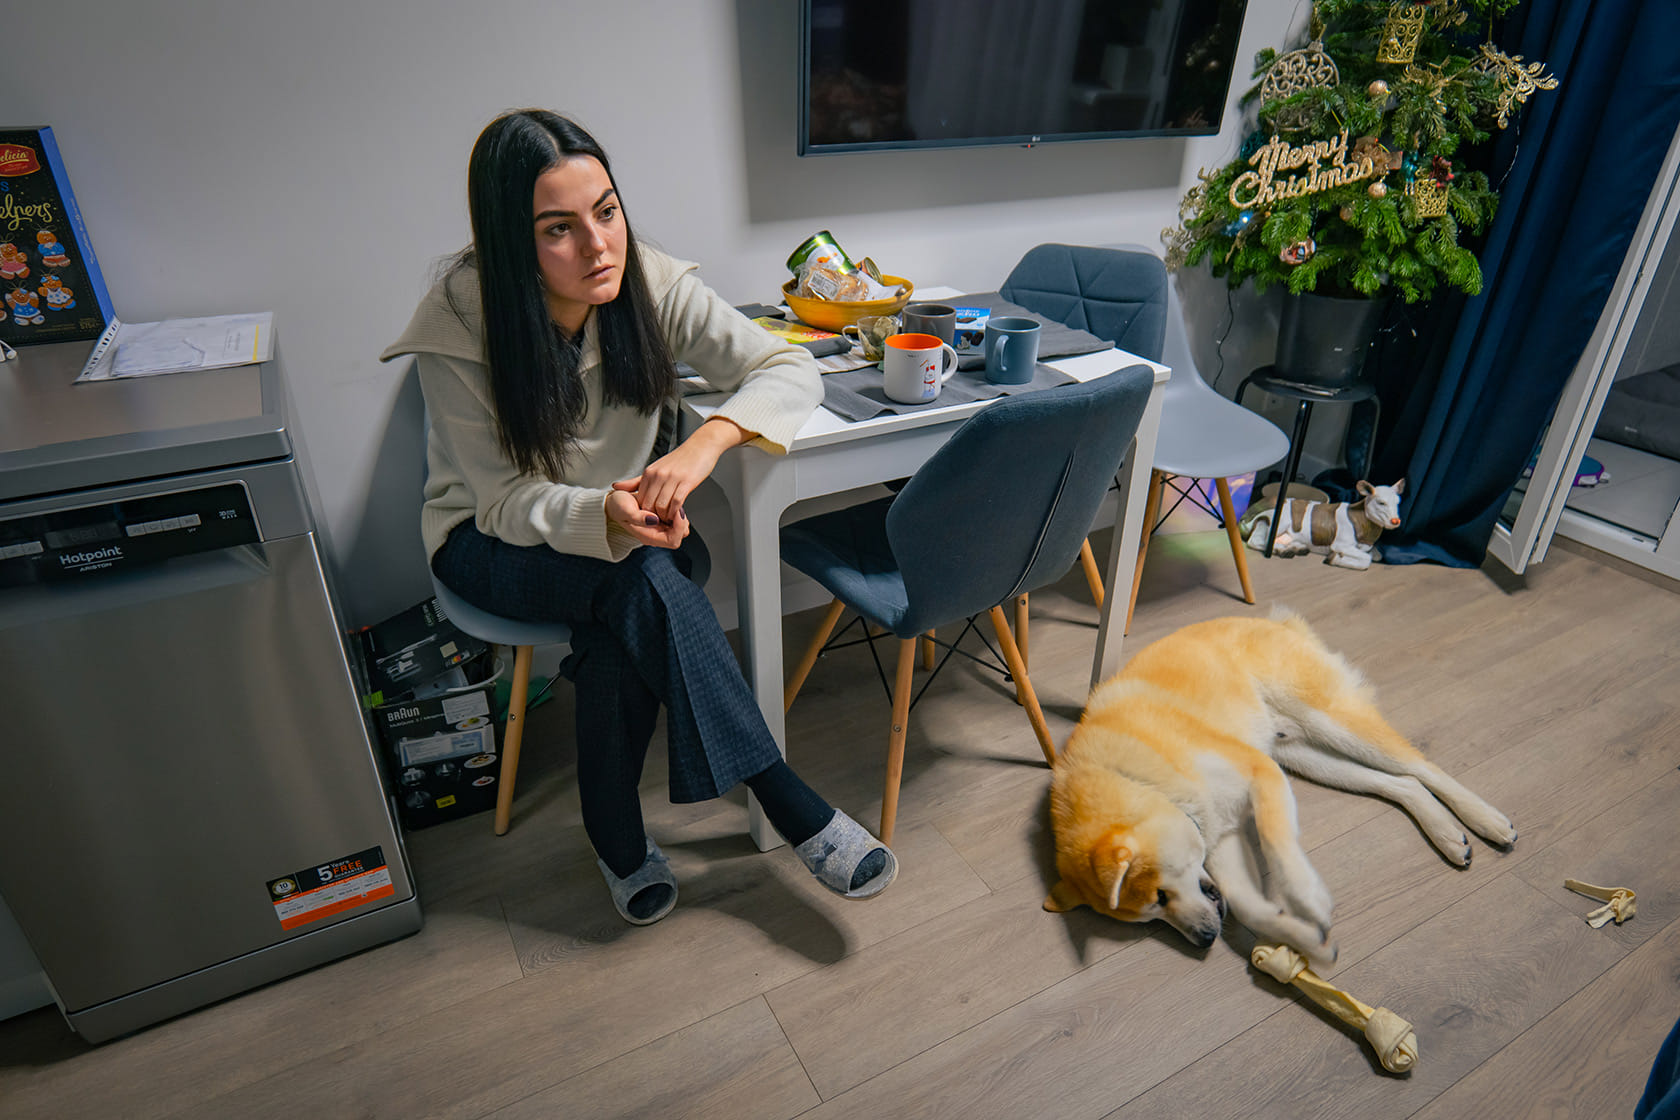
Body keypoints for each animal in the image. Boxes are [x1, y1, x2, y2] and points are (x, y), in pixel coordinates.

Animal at [1043, 612, 1515, 967]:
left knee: (1424, 767)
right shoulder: (1218, 836)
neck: (1139, 777)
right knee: (1405, 784)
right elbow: (1250, 906)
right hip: (1310, 757)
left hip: (1333, 726)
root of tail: (1272, 621)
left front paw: (1309, 899)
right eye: (1149, 919)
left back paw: (1487, 820)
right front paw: (1311, 944)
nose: (1204, 939)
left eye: (1159, 898)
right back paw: (1448, 835)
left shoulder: (1261, 773)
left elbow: (1276, 841)